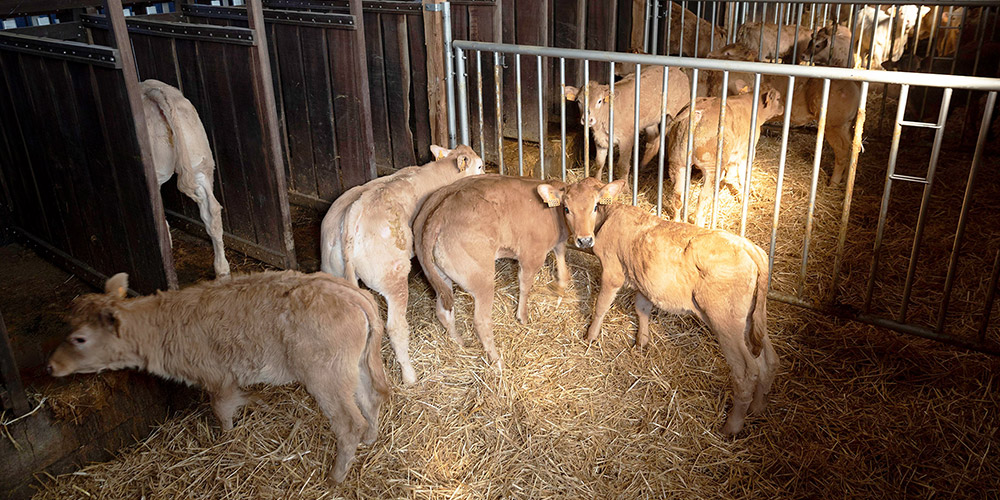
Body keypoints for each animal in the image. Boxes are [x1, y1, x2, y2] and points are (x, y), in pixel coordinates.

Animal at [47, 272, 390, 482]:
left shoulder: (217, 377)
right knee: (371, 398)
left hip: (326, 377)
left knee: (349, 423)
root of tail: (350, 292)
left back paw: (336, 476)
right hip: (357, 365)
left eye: (79, 338)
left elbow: (222, 411)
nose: (50, 366)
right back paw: (371, 439)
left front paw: (226, 440)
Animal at [320, 143, 484, 384]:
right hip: (393, 278)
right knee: (395, 327)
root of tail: (352, 216)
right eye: (480, 166)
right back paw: (410, 375)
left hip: (334, 273)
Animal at [540, 178, 780, 436]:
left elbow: (602, 306)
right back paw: (758, 408)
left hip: (726, 322)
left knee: (746, 371)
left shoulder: (613, 272)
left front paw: (590, 336)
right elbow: (641, 307)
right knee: (768, 360)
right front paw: (641, 342)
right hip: (752, 318)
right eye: (566, 208)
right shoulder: (644, 279)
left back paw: (731, 427)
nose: (584, 240)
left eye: (595, 206)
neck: (611, 215)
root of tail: (749, 246)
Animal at [668, 87, 784, 226]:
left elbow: (731, 175)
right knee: (703, 198)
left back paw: (677, 221)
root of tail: (697, 111)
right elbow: (743, 177)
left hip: (678, 163)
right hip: (712, 167)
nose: (783, 108)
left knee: (677, 195)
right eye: (778, 98)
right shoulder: (747, 152)